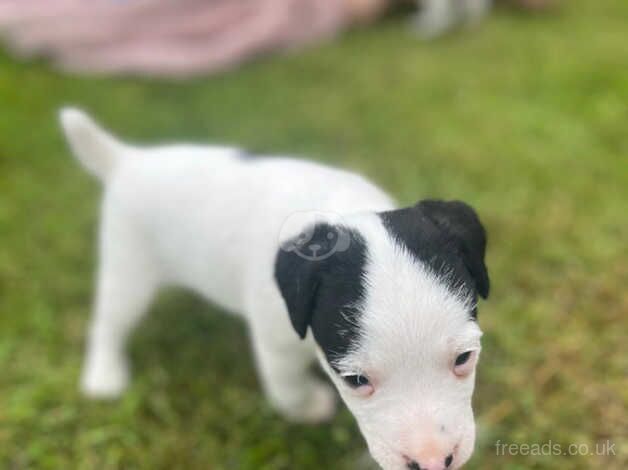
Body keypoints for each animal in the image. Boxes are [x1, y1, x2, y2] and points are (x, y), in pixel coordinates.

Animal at [60, 107, 490, 470]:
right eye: (355, 381)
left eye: (464, 358)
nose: (432, 461)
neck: (342, 213)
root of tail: (126, 160)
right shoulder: (277, 342)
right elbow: (287, 387)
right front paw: (309, 407)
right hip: (128, 268)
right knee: (109, 322)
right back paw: (104, 375)